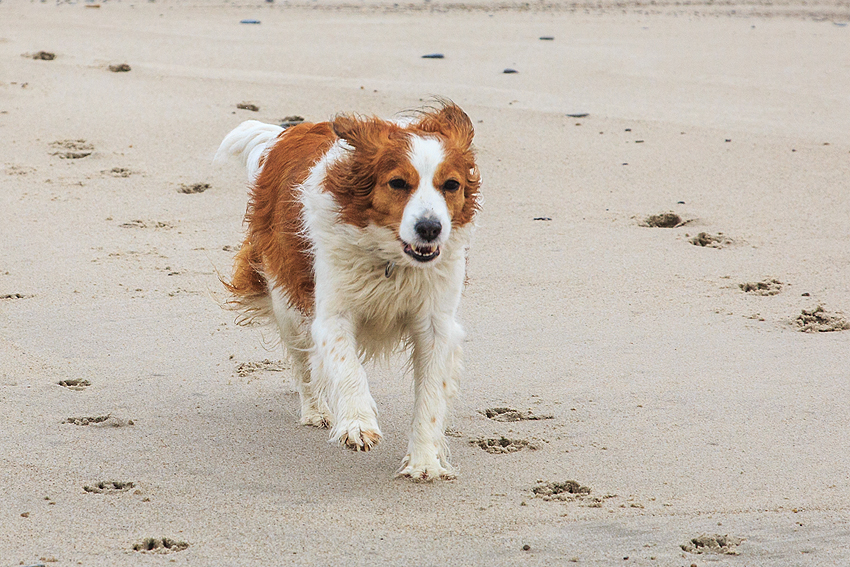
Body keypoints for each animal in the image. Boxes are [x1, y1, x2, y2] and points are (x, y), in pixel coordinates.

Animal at [215, 102, 480, 480]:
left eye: (451, 185)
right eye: (398, 183)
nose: (430, 228)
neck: (392, 260)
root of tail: (288, 133)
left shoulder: (435, 324)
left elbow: (430, 395)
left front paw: (424, 461)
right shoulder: (331, 315)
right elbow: (347, 367)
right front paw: (357, 424)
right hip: (286, 299)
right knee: (303, 365)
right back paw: (316, 412)